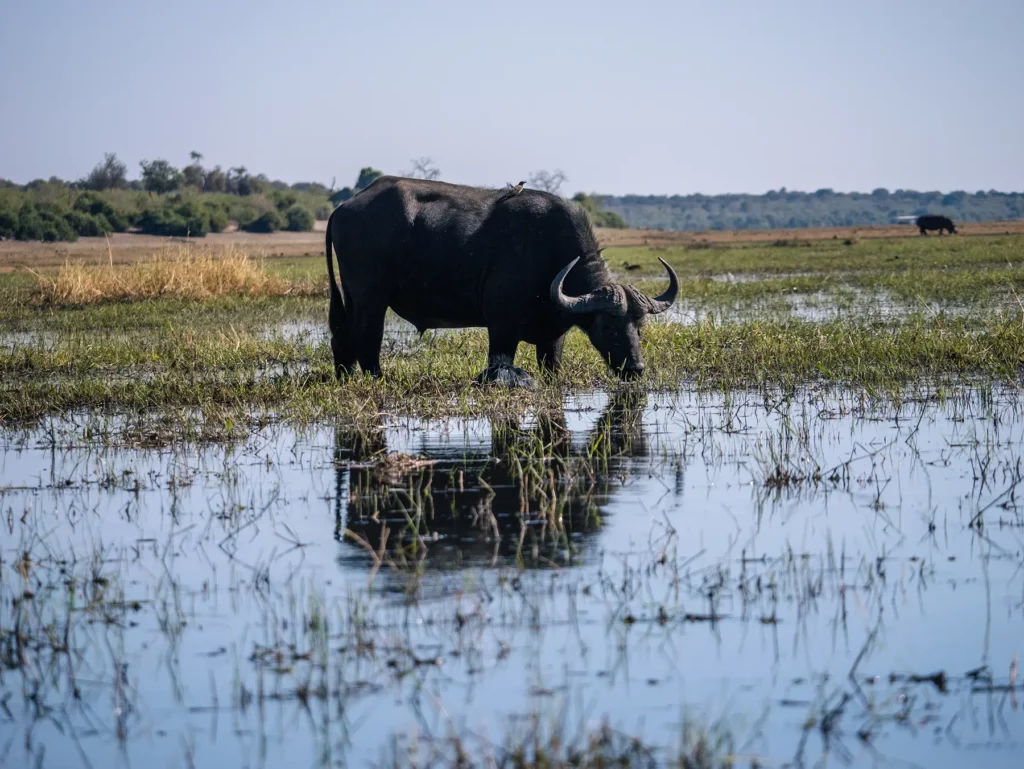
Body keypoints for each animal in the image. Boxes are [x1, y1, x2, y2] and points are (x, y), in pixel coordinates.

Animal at [325, 176, 678, 387]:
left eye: (639, 325)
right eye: (608, 326)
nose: (636, 369)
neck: (550, 252)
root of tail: (343, 209)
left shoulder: (553, 338)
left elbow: (551, 365)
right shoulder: (501, 326)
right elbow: (501, 360)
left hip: (353, 300)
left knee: (343, 338)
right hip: (372, 300)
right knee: (367, 342)